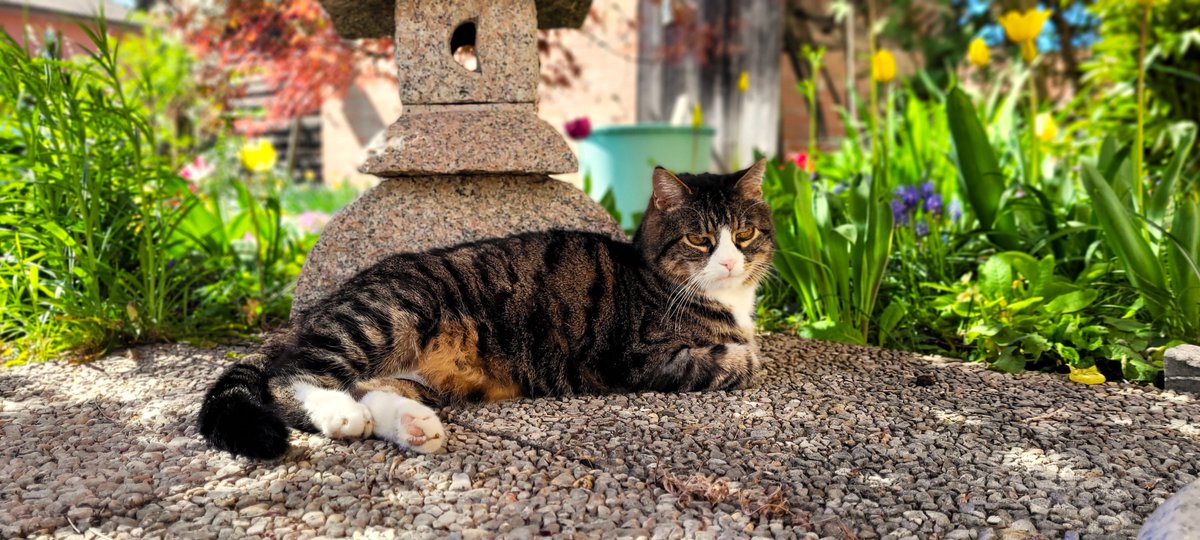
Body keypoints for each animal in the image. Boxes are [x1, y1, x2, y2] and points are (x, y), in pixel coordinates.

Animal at [200, 158, 772, 458]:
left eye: (744, 234)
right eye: (700, 240)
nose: (728, 261)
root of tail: (319, 309)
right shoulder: (638, 357)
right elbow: (740, 361)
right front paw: (744, 355)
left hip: (415, 368)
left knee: (367, 387)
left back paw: (415, 426)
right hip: (387, 314)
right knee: (290, 377)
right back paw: (340, 414)